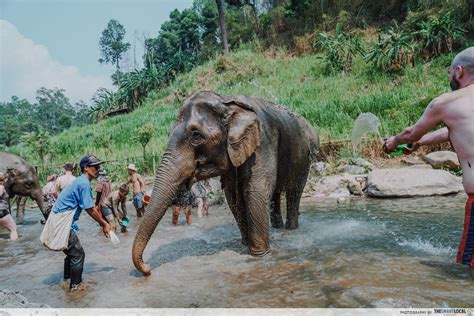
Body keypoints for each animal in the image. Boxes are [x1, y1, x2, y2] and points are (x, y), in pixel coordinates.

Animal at [131, 90, 320, 276]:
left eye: (196, 135)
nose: (148, 268)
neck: (226, 102)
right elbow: (233, 197)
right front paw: (245, 245)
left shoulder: (263, 142)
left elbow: (255, 192)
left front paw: (260, 256)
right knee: (275, 194)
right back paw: (277, 228)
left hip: (304, 158)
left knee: (294, 192)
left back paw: (291, 229)